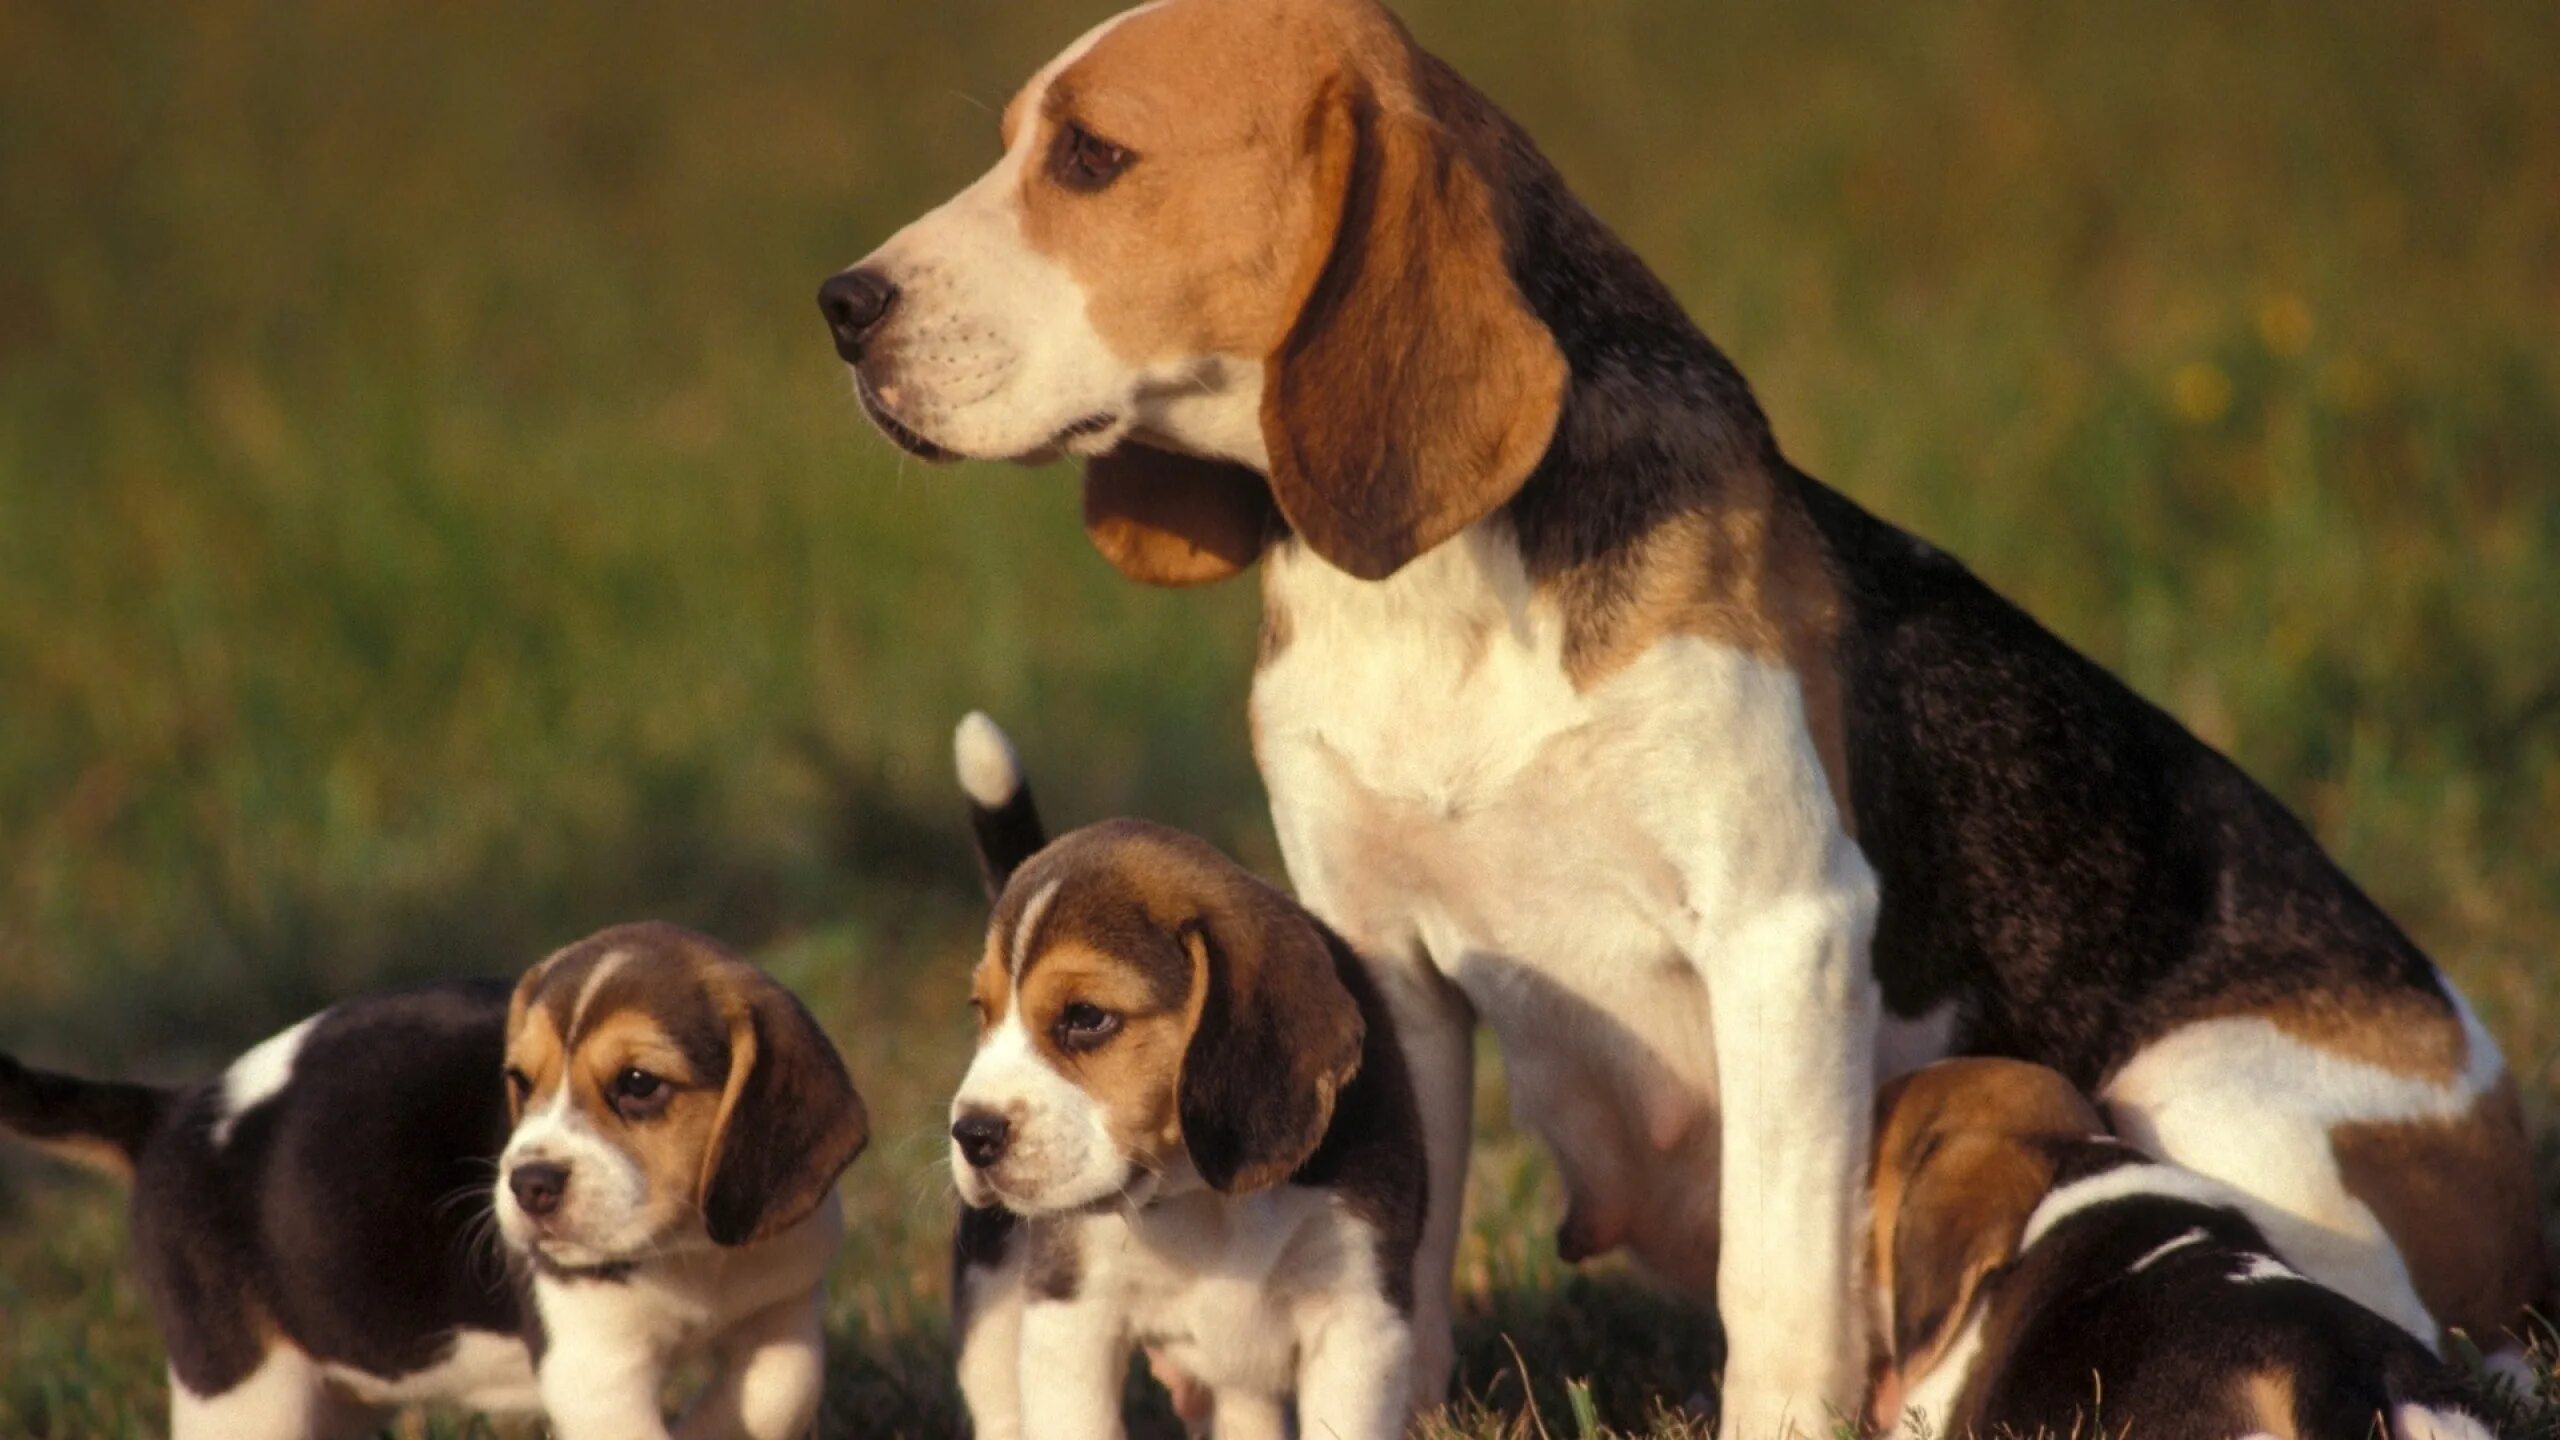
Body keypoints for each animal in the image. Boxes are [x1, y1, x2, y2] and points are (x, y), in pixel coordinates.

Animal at [0, 917, 870, 1434]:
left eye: (638, 1085)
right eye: (520, 1081)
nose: (530, 1184)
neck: (693, 1253)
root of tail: (175, 1111)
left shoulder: (785, 1299)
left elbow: (784, 1390)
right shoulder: (596, 1366)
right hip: (245, 1387)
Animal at [942, 712, 1433, 1434]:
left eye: (1086, 1017)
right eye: (983, 1013)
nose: (972, 1133)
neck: (1199, 1196)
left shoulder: (1359, 1320)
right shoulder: (1069, 1316)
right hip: (991, 1297)